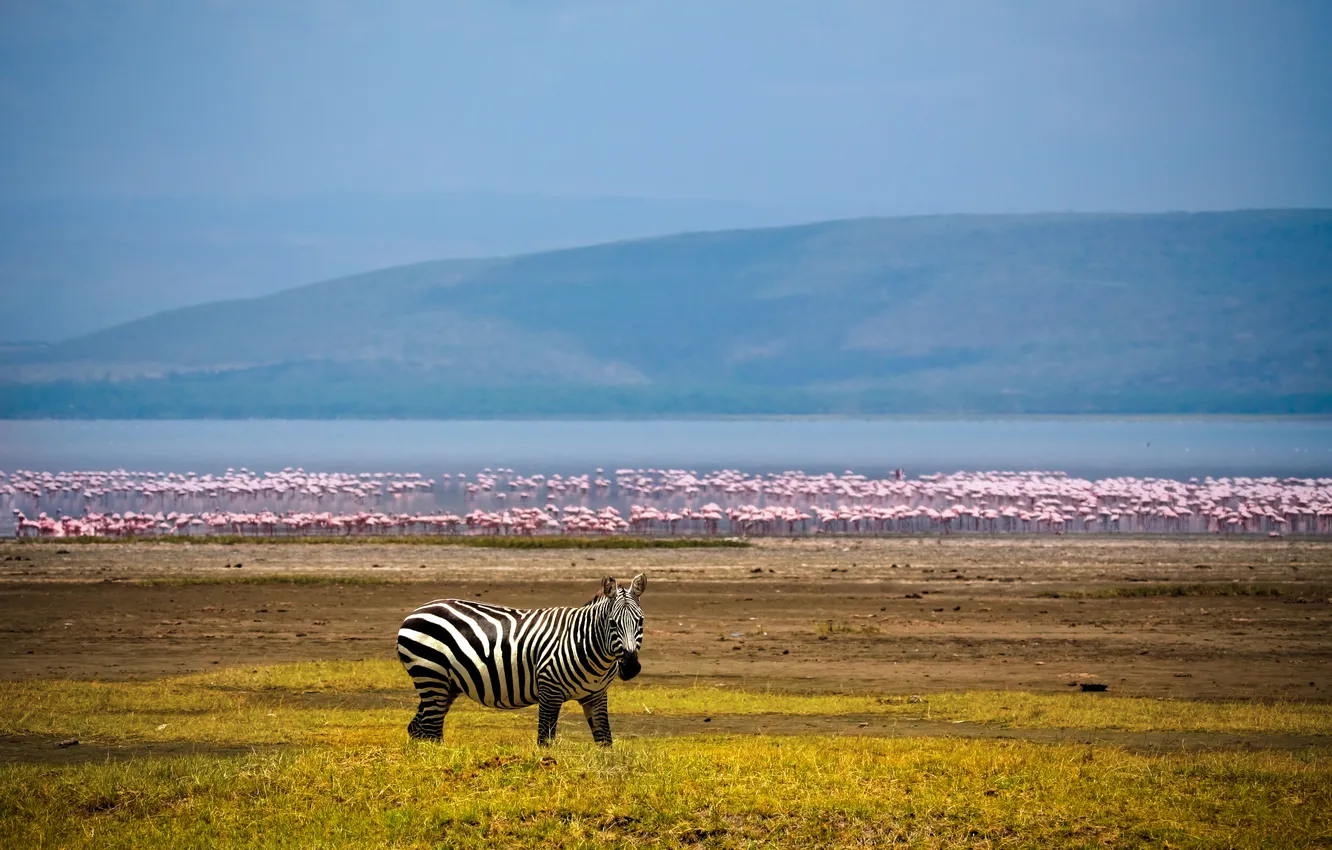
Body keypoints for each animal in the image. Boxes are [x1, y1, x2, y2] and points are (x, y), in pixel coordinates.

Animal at [396, 573, 646, 746]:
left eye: (641, 621)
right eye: (612, 623)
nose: (631, 667)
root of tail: (415, 612)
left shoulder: (596, 696)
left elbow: (605, 741)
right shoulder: (549, 690)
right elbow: (545, 741)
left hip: (446, 683)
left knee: (418, 727)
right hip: (430, 675)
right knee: (430, 730)